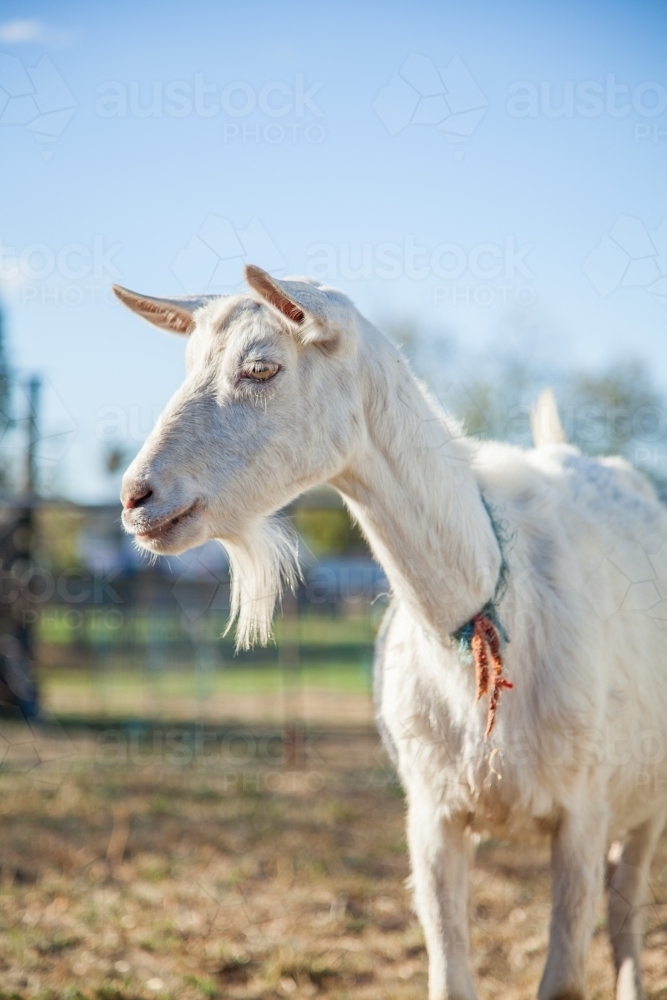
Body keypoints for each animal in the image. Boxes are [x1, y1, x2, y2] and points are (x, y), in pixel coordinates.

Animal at [115, 268, 667, 1000]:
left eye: (261, 367)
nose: (136, 498)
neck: (494, 612)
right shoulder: (431, 812)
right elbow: (449, 976)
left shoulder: (583, 810)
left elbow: (564, 978)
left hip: (644, 797)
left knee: (626, 911)